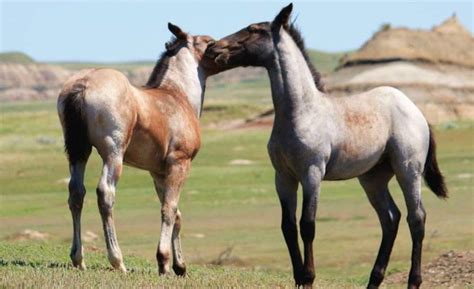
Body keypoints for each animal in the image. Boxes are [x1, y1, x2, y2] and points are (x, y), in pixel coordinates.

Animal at [57, 23, 222, 274]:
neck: (178, 95)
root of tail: (83, 83)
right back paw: (117, 260)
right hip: (113, 153)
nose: (226, 49)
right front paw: (164, 262)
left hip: (78, 152)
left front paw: (180, 265)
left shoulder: (158, 172)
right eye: (208, 41)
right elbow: (170, 210)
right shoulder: (179, 164)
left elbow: (176, 214)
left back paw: (78, 259)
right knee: (105, 193)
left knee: (76, 193)